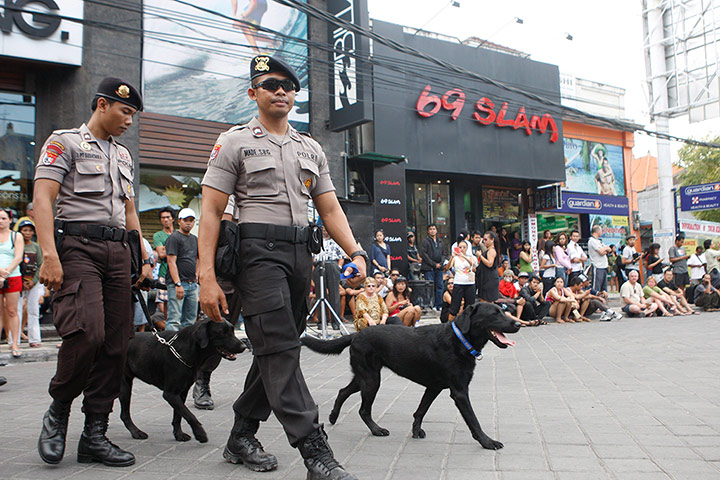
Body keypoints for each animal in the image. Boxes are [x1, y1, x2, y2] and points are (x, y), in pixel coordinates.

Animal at [119, 318, 249, 442]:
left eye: (232, 331)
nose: (243, 347)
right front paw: (200, 434)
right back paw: (136, 432)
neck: (188, 349)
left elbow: (179, 416)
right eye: (222, 333)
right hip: (124, 387)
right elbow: (189, 414)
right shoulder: (170, 394)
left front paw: (179, 434)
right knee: (124, 414)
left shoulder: (182, 391)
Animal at [300, 304, 520, 450]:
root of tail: (356, 334)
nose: (518, 324)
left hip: (364, 377)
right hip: (371, 380)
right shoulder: (459, 392)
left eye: (503, 310)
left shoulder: (434, 387)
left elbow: (421, 411)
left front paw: (415, 431)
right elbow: (473, 420)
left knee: (342, 391)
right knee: (363, 410)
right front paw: (488, 441)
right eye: (494, 314)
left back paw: (333, 416)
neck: (460, 339)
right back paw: (376, 430)